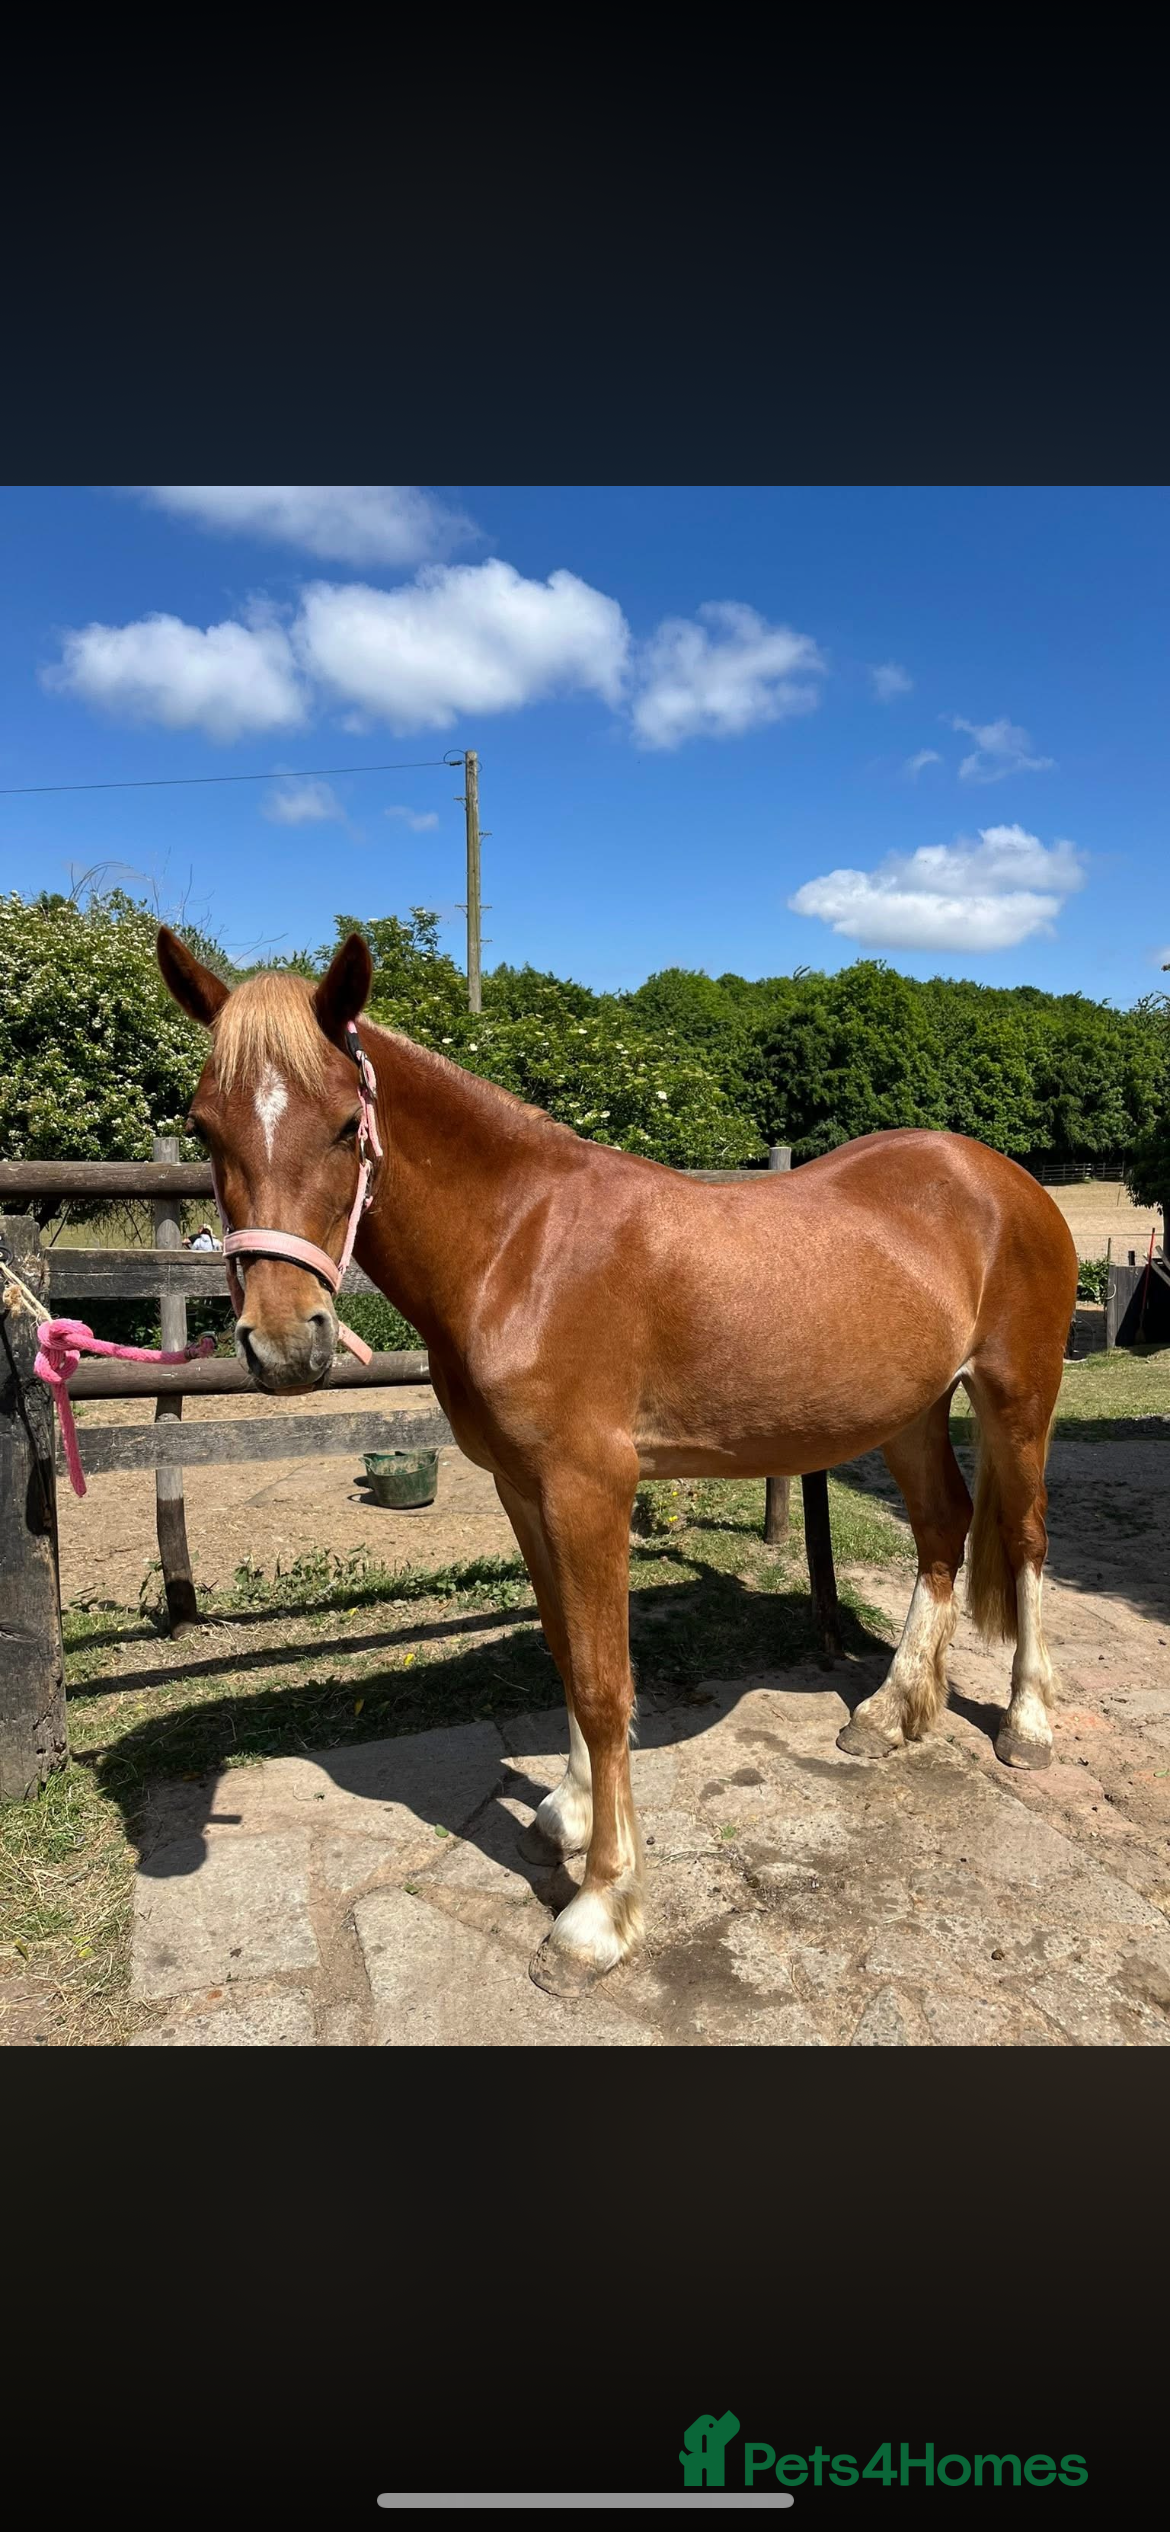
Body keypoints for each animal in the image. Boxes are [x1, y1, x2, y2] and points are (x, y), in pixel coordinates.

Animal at [157, 926, 1080, 1996]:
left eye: (349, 1124)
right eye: (204, 1126)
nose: (284, 1344)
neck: (520, 1247)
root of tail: (1004, 1179)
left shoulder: (588, 1490)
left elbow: (604, 1685)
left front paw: (596, 1911)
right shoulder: (523, 1490)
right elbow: (565, 1652)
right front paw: (564, 1813)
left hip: (1016, 1396)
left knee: (1026, 1538)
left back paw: (1027, 1726)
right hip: (910, 1410)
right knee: (941, 1531)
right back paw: (888, 1714)